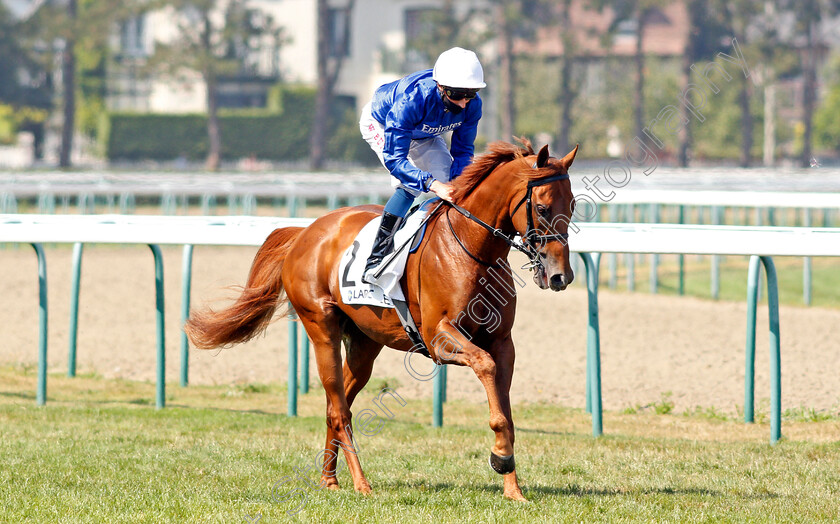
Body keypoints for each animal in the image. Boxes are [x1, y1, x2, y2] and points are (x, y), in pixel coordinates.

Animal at [185, 138, 576, 500]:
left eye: (573, 205)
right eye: (542, 207)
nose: (561, 276)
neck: (472, 249)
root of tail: (305, 232)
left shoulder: (502, 342)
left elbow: (505, 408)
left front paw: (512, 485)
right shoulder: (439, 338)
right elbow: (486, 369)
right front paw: (500, 457)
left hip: (364, 344)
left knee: (336, 404)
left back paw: (330, 479)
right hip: (322, 328)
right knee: (340, 411)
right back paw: (361, 483)